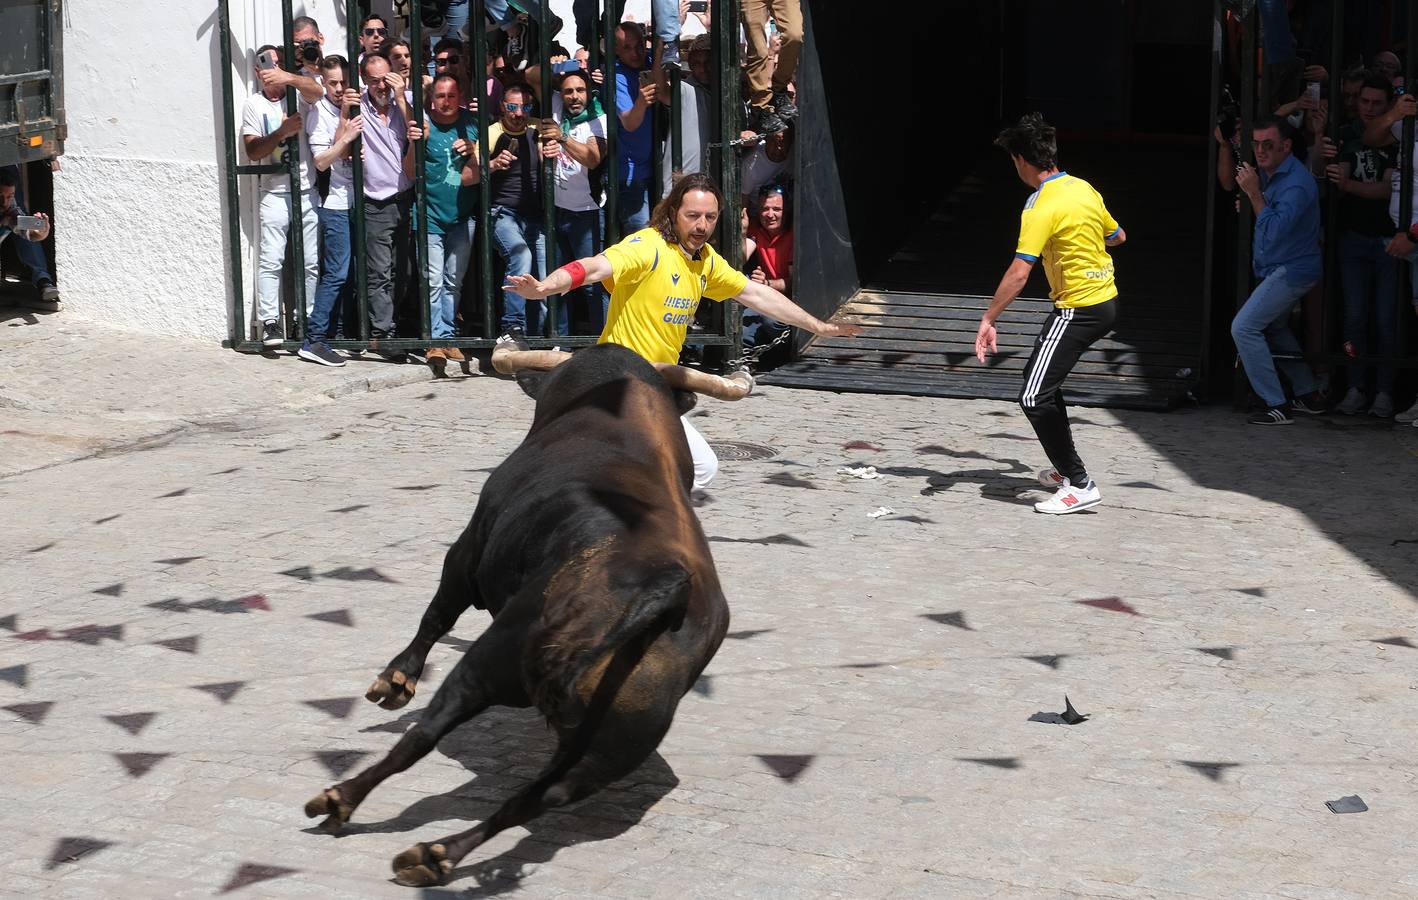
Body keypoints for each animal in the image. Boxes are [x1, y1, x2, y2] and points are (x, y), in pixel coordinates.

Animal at [307, 342, 731, 890]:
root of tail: (669, 593)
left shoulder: (468, 549)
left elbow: (436, 616)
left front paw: (396, 680)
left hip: (492, 661)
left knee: (422, 736)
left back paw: (342, 801)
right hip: (614, 745)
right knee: (538, 798)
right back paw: (434, 856)